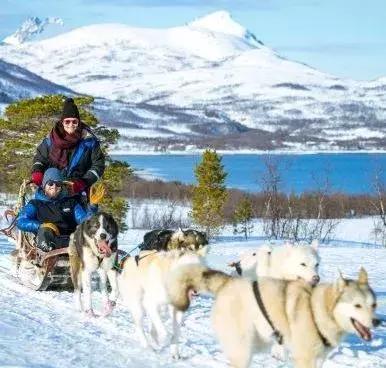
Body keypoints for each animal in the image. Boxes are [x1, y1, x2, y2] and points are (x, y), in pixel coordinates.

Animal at [168, 264, 376, 368]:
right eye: (357, 305)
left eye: (373, 305)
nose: (377, 321)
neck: (316, 310)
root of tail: (228, 282)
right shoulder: (305, 359)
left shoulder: (318, 360)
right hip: (243, 350)